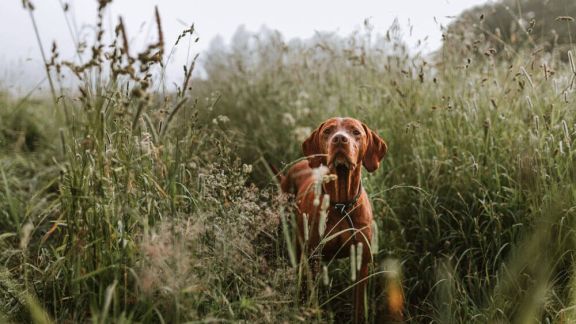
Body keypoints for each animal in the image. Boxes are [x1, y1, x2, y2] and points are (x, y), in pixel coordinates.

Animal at [278, 117, 388, 322]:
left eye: (355, 132)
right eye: (328, 131)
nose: (339, 139)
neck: (341, 203)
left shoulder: (361, 262)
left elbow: (359, 306)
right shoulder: (312, 258)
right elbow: (309, 296)